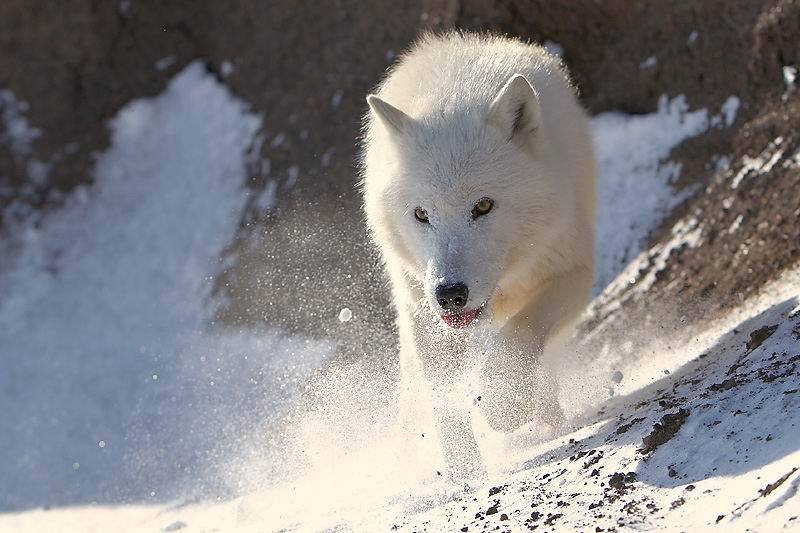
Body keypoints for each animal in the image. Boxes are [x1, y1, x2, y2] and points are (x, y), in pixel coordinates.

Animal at [360, 34, 596, 482]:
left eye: (483, 206)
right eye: (421, 214)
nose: (450, 294)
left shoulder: (572, 270)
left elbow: (523, 331)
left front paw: (504, 402)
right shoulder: (425, 311)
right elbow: (443, 402)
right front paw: (466, 477)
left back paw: (548, 418)